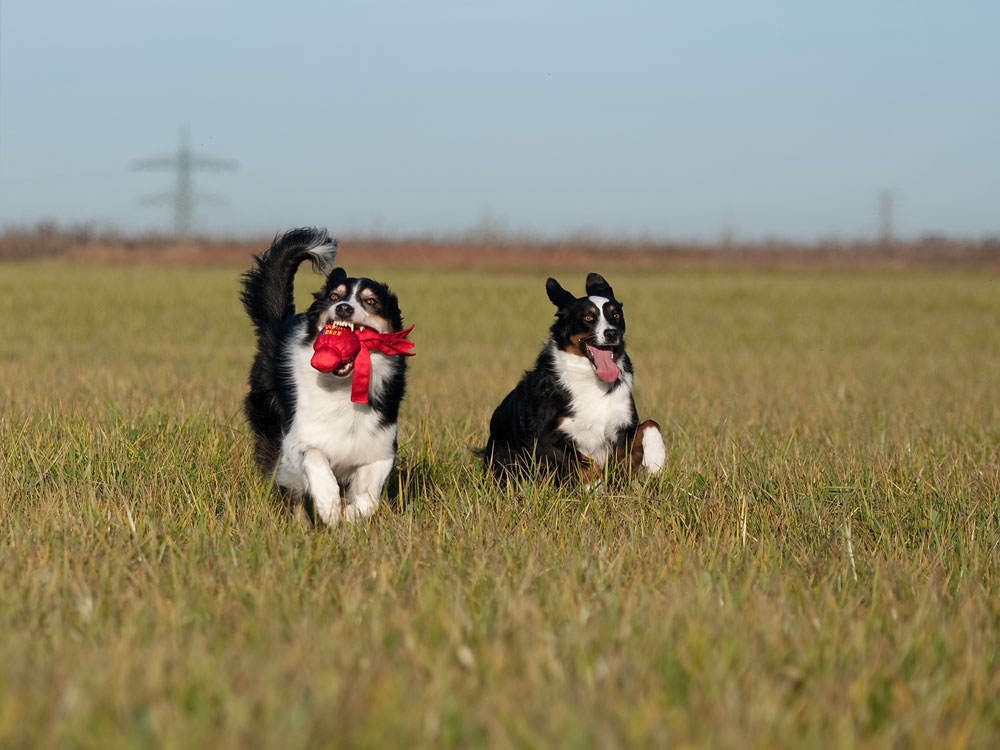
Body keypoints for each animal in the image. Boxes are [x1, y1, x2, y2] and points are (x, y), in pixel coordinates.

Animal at [240, 229, 408, 528]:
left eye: (371, 302)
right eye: (333, 296)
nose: (343, 308)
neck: (344, 385)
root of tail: (279, 323)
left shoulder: (379, 447)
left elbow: (369, 496)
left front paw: (350, 514)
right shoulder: (296, 441)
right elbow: (315, 457)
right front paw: (329, 506)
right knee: (290, 491)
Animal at [482, 274, 664, 484]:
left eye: (616, 315)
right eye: (588, 317)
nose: (612, 333)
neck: (591, 379)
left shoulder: (621, 433)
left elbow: (651, 423)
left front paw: (656, 459)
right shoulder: (542, 441)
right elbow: (586, 462)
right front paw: (594, 486)